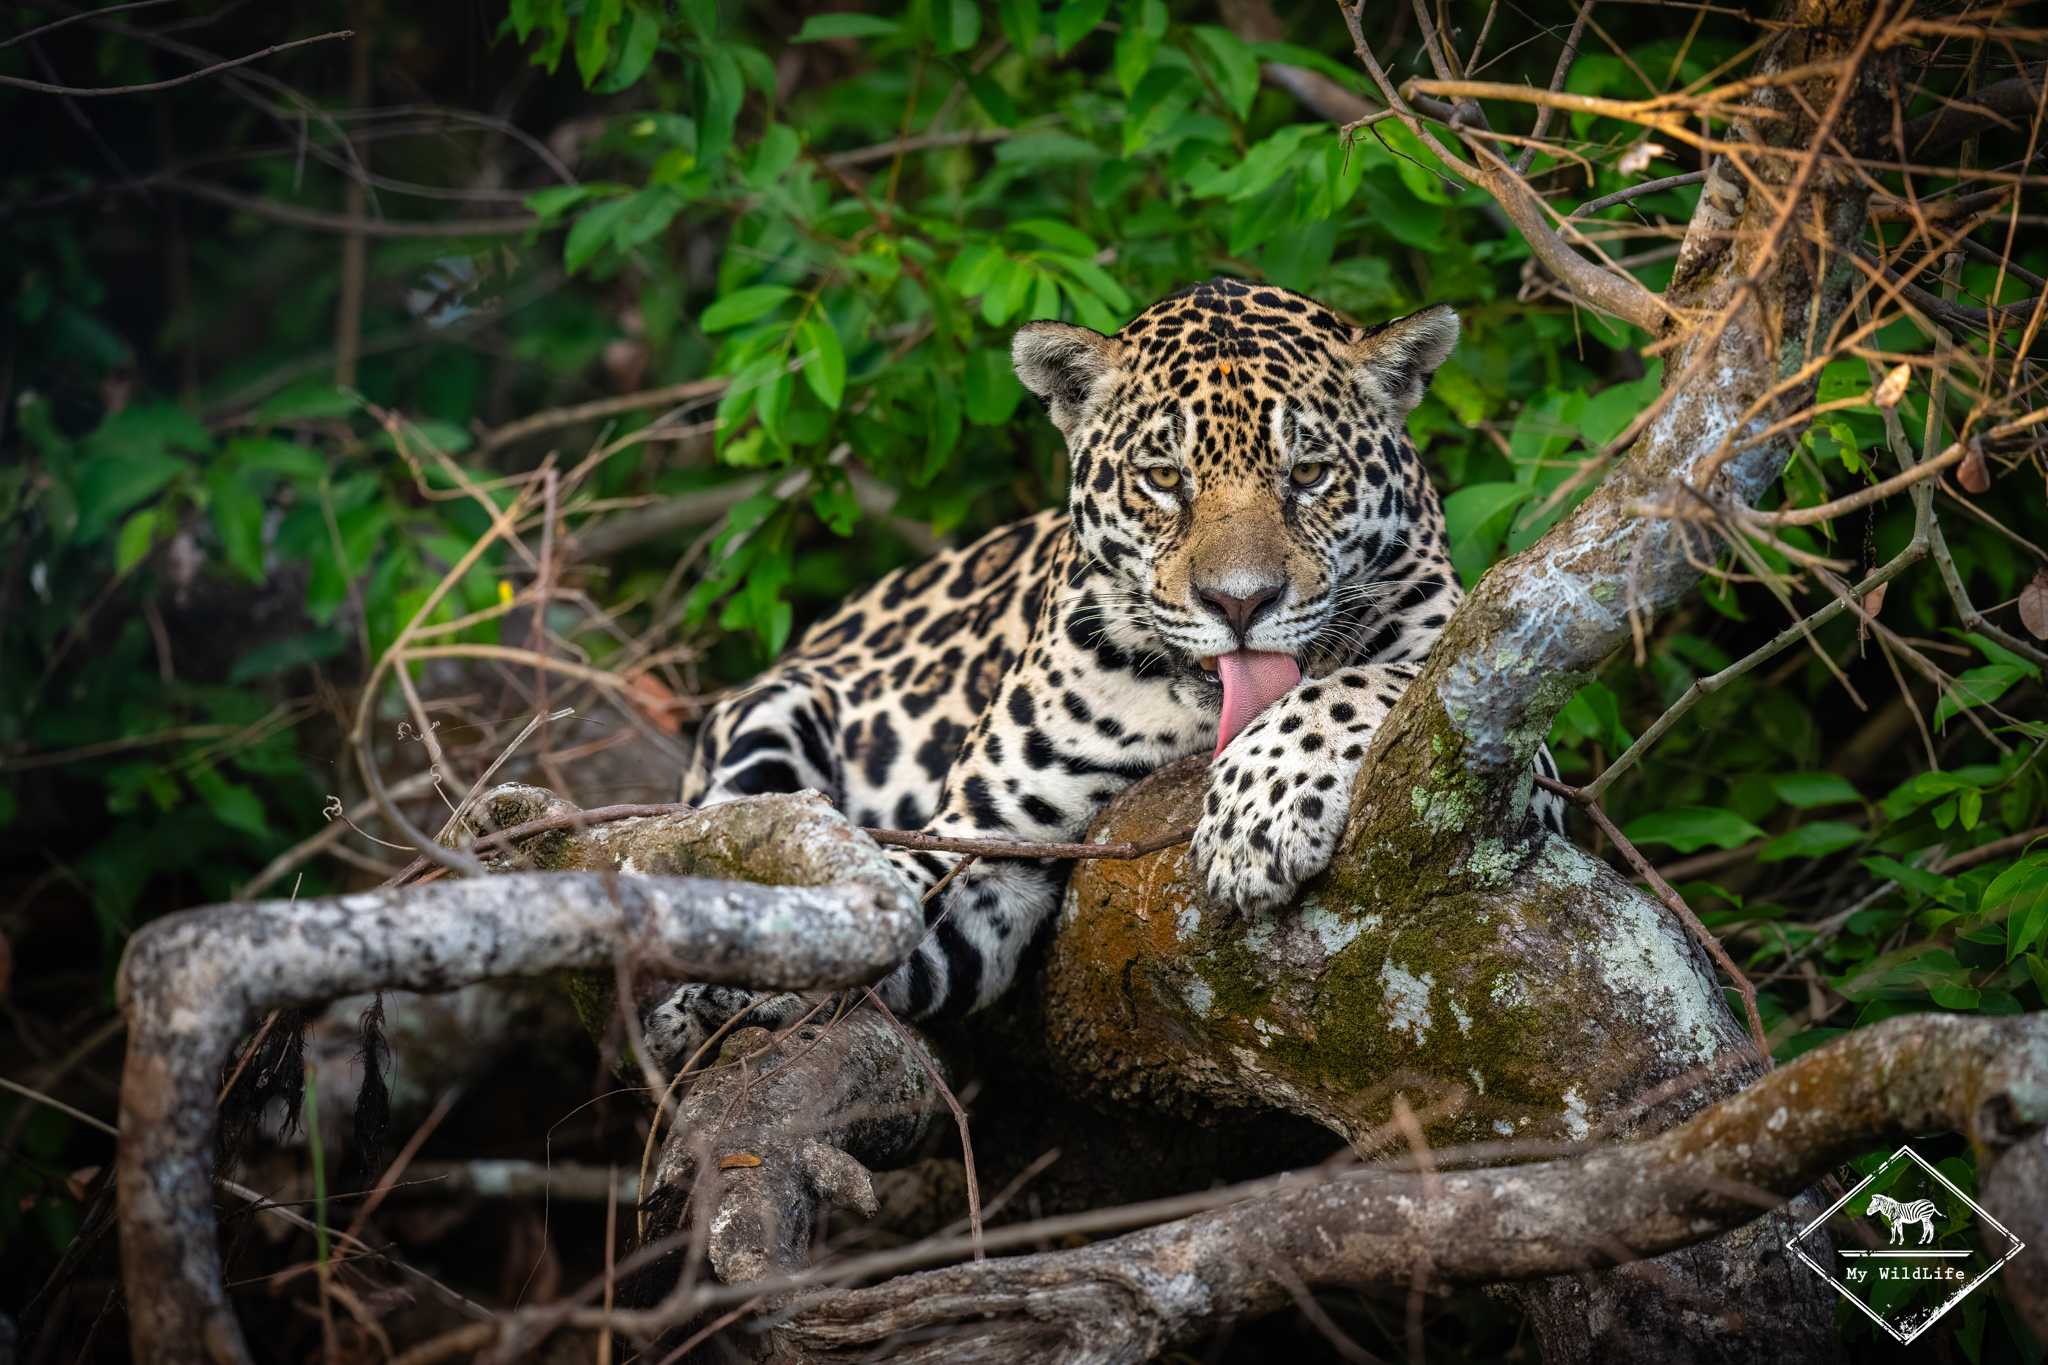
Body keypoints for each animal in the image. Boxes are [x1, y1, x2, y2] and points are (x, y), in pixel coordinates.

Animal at [643, 277, 1567, 1068]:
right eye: (1163, 478)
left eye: (1309, 473)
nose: (1240, 602)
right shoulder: (983, 845)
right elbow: (894, 902)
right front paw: (733, 976)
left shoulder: (1525, 755)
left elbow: (1383, 679)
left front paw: (1258, 811)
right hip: (770, 705)